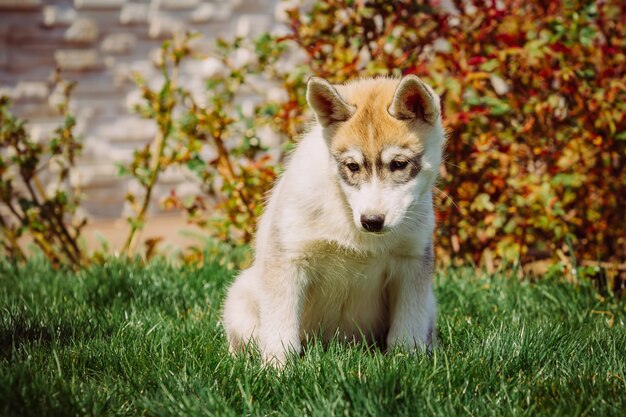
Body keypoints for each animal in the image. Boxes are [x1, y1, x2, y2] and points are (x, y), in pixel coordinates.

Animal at [222, 75, 442, 364]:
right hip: (241, 296)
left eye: (399, 164)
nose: (372, 221)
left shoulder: (412, 261)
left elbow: (408, 329)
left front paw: (407, 362)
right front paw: (277, 369)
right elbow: (280, 329)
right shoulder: (288, 259)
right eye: (352, 166)